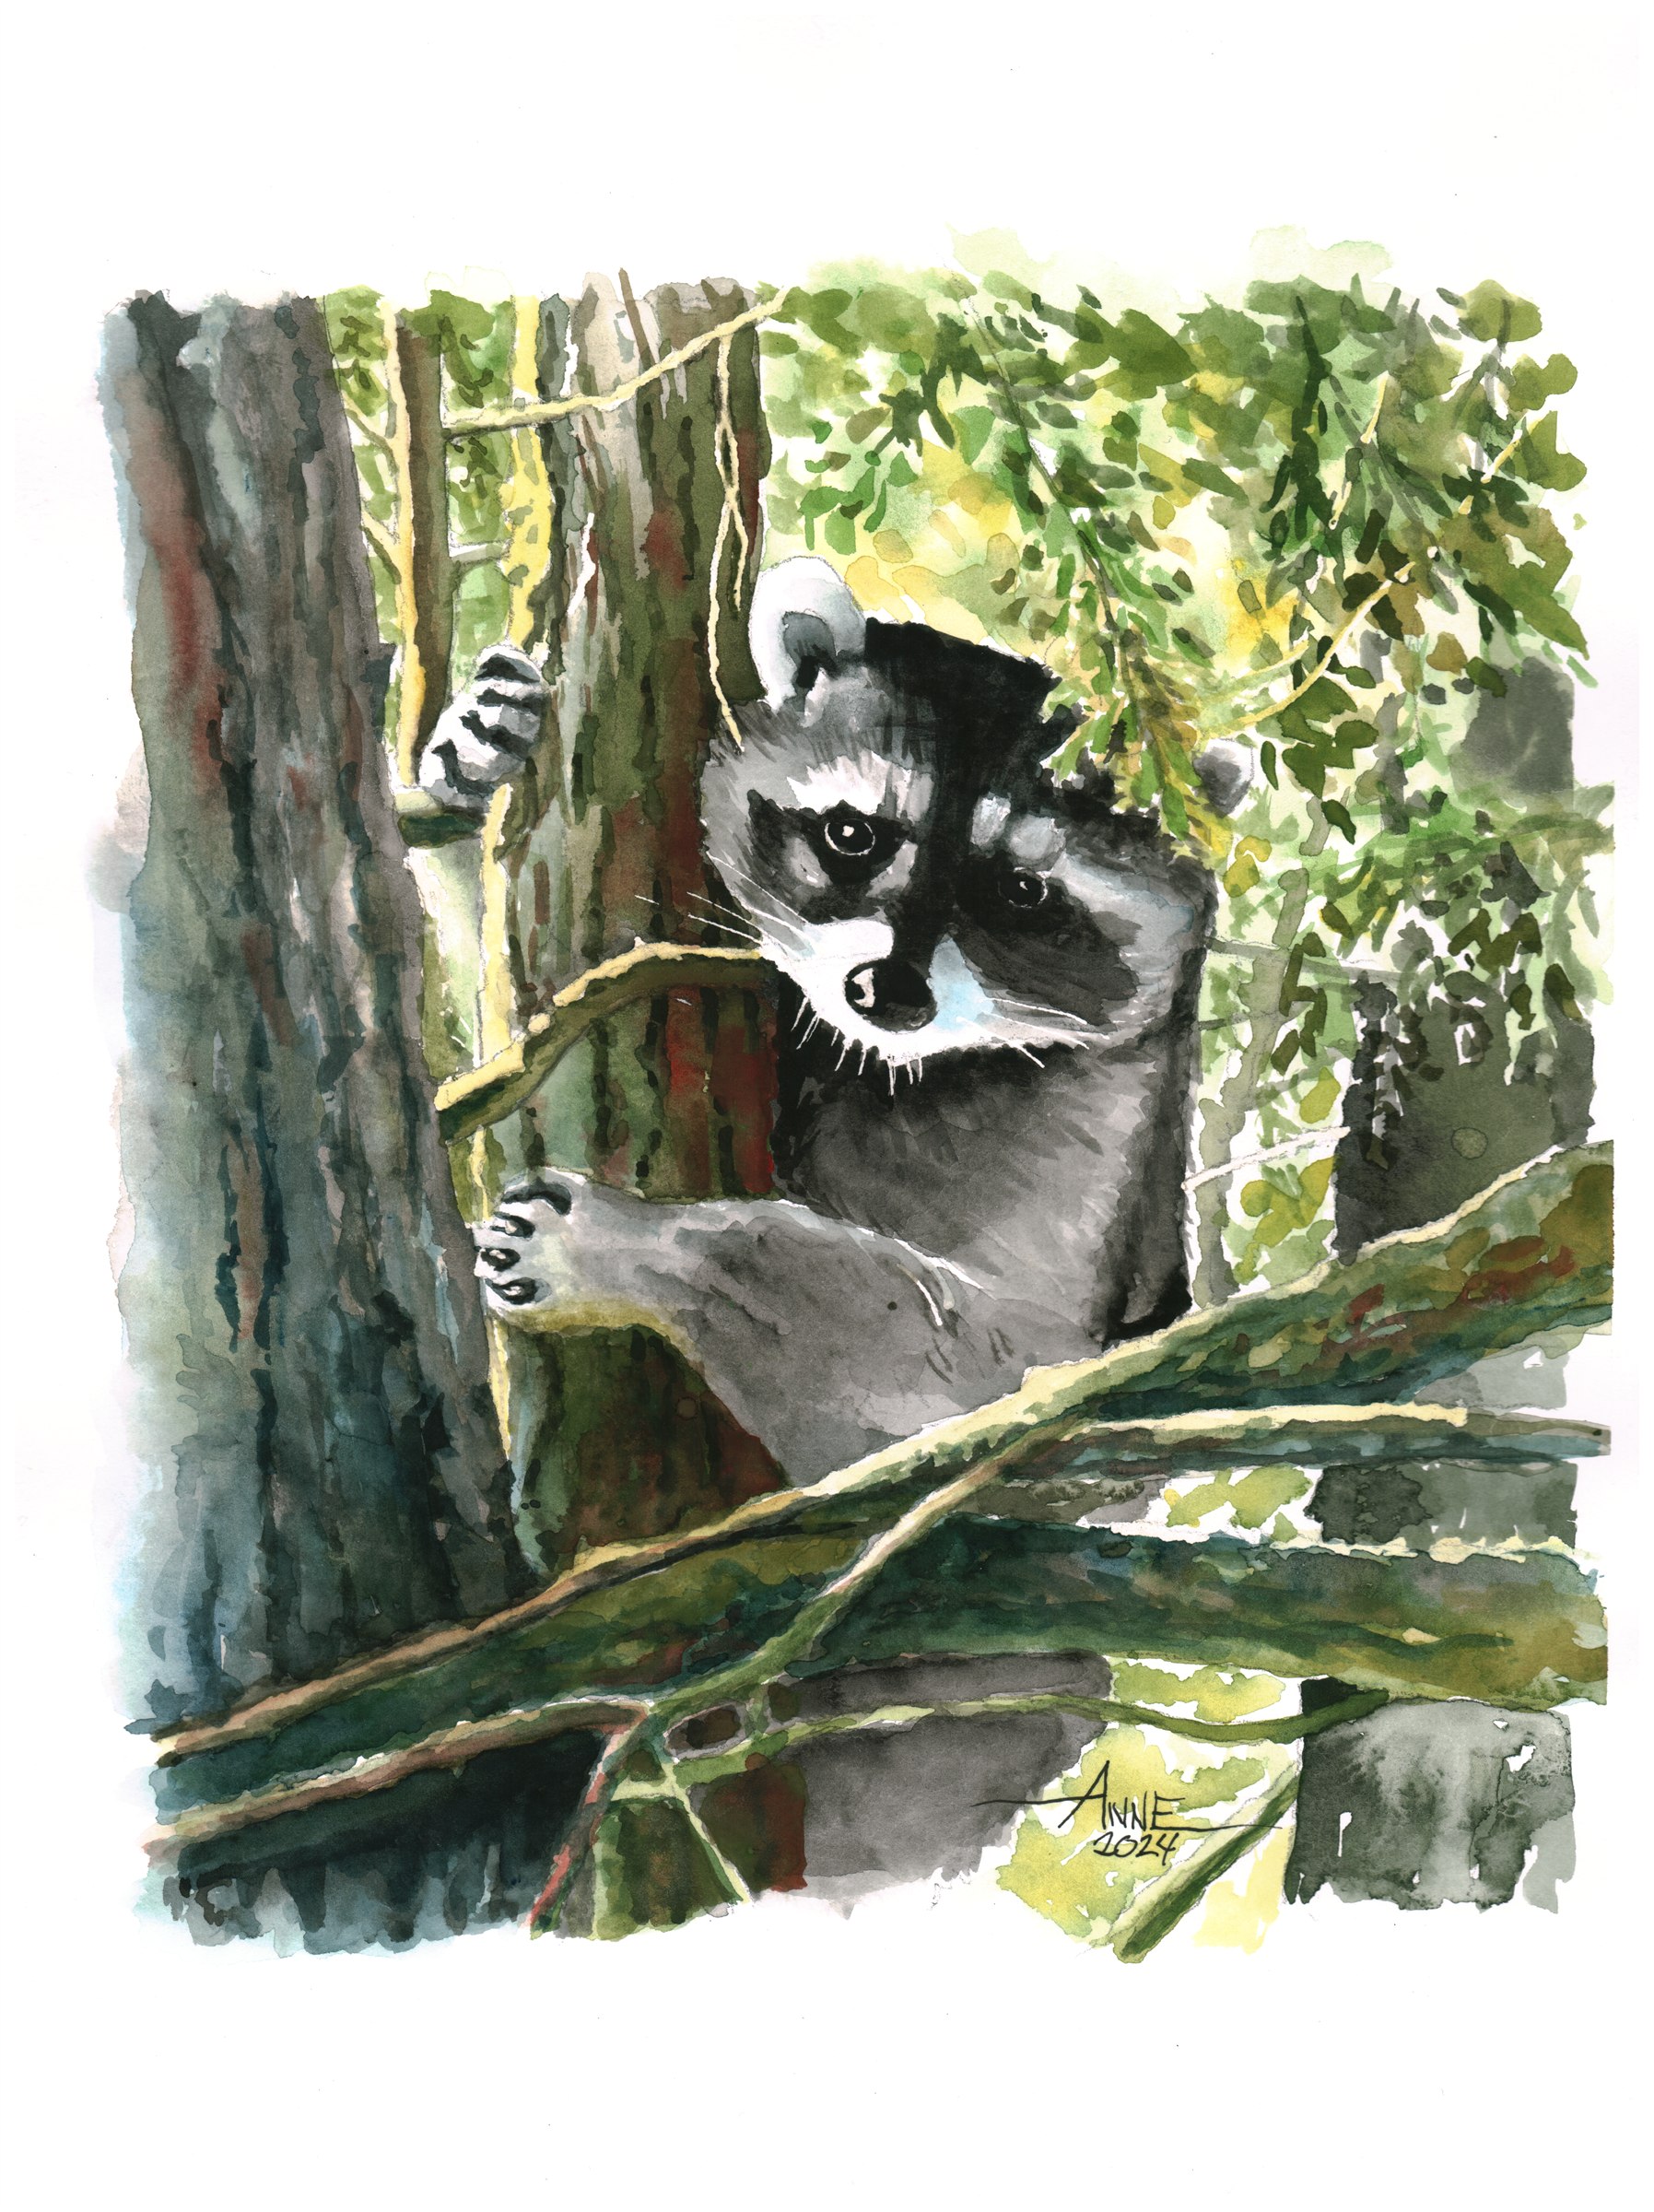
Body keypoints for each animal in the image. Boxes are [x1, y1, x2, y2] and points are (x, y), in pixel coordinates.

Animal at [464, 559, 1248, 1482]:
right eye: (851, 833)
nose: (887, 990)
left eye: (1019, 891)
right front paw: (475, 749)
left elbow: (951, 1361)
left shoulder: (1087, 1161)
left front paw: (632, 1246)